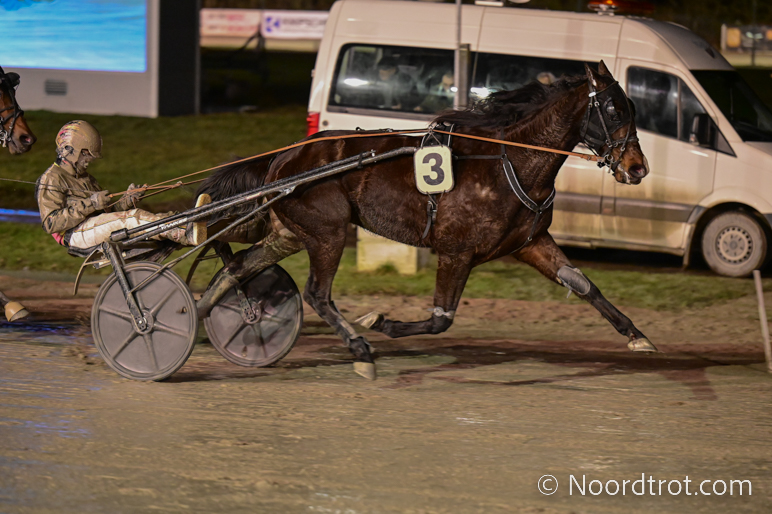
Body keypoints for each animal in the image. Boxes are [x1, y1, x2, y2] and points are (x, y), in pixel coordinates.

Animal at [196, 61, 653, 380]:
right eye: (613, 109)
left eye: (632, 107)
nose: (637, 168)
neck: (511, 163)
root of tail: (285, 156)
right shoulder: (456, 252)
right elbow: (440, 320)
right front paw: (381, 322)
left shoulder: (531, 243)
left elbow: (585, 285)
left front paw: (638, 336)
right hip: (328, 232)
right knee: (317, 294)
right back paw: (361, 350)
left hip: (290, 233)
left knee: (235, 270)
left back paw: (197, 315)